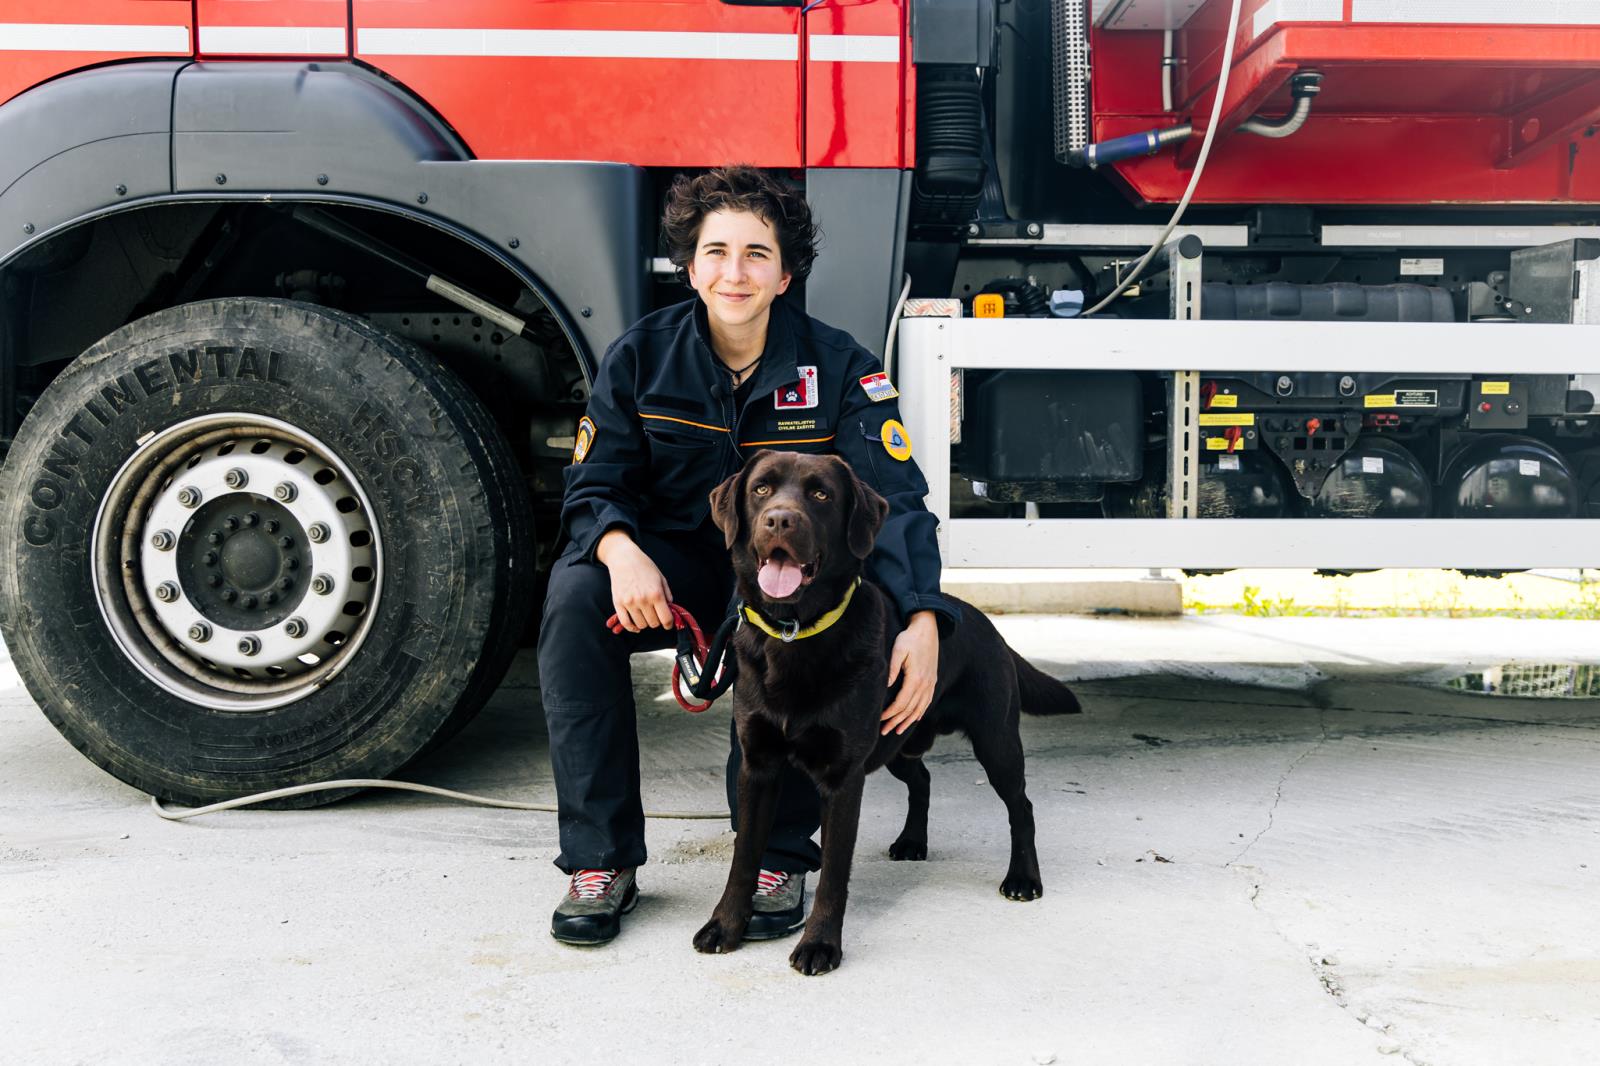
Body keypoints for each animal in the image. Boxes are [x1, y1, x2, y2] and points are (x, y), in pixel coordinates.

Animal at [692, 449, 1081, 975]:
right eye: (761, 490)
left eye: (820, 494)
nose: (779, 519)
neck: (796, 634)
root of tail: (984, 622)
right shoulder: (758, 767)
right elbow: (744, 857)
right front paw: (725, 926)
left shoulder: (843, 777)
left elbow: (834, 872)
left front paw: (820, 945)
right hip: (897, 742)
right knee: (923, 780)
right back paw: (913, 841)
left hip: (996, 742)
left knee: (1021, 806)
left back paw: (1023, 878)